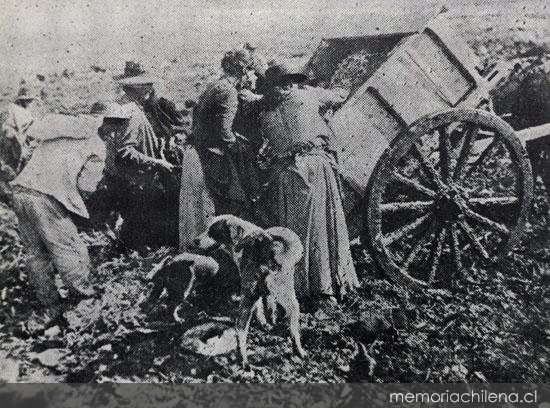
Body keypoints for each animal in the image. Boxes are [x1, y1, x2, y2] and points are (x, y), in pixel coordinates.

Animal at [194, 215, 306, 368]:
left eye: (213, 232)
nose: (195, 241)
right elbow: (266, 306)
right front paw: (269, 322)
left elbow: (264, 307)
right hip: (291, 301)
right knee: (293, 332)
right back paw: (299, 353)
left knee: (241, 330)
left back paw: (244, 360)